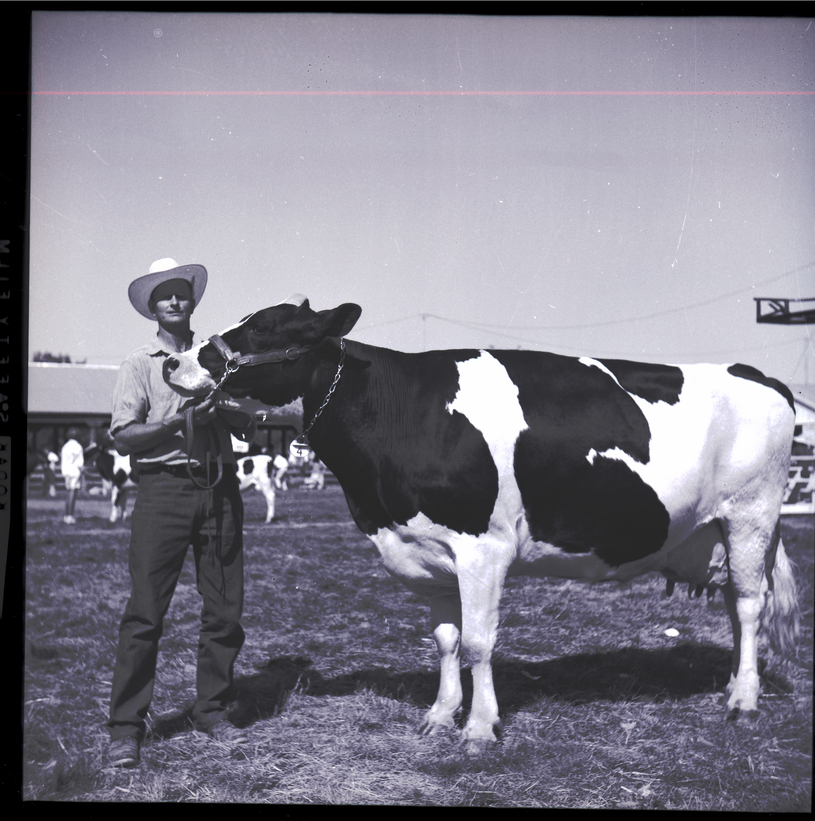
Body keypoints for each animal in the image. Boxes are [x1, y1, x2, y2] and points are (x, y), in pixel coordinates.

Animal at [163, 296, 800, 751]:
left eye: (266, 330)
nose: (174, 361)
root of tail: (758, 375)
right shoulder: (428, 551)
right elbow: (446, 641)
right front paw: (441, 715)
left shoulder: (483, 549)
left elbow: (476, 642)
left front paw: (478, 728)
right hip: (715, 529)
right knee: (735, 606)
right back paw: (731, 685)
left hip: (751, 516)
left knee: (749, 604)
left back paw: (744, 701)